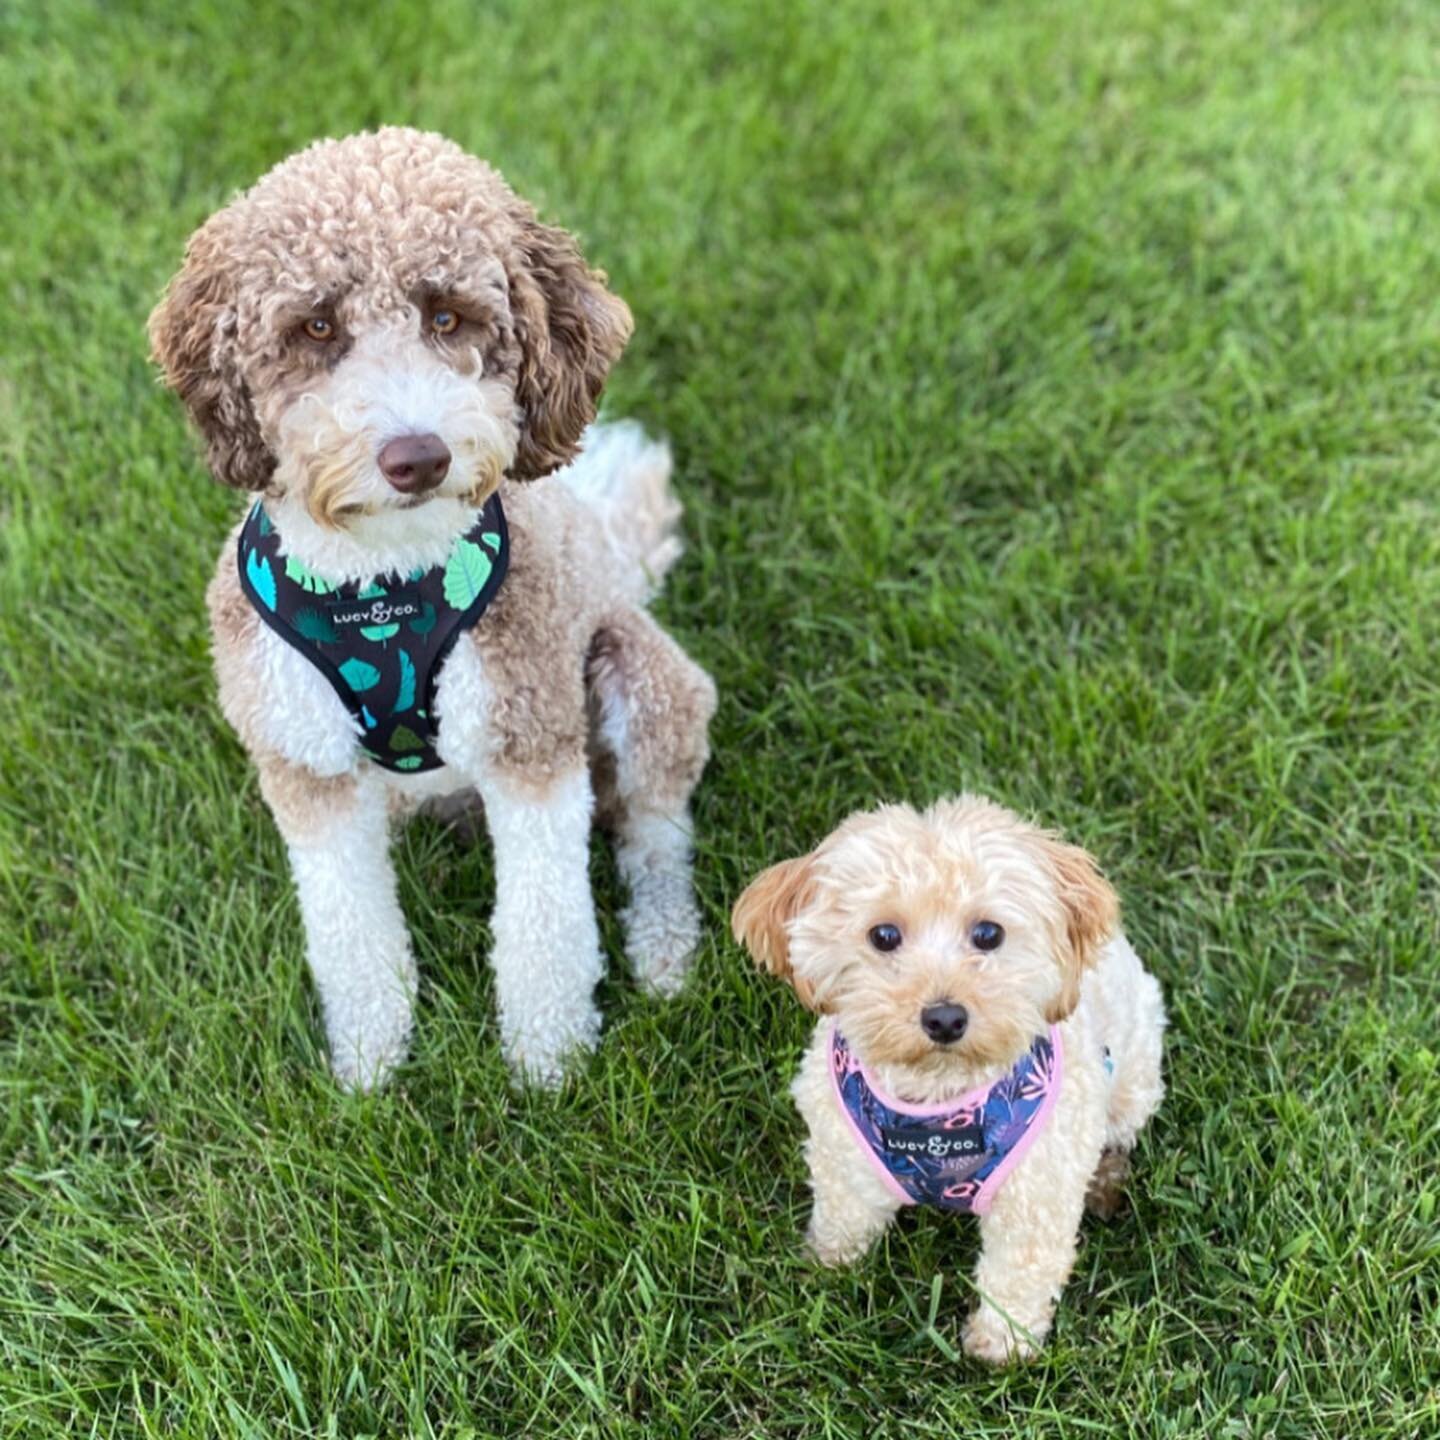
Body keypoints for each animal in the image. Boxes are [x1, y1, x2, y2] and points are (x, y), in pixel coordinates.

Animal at [150, 129, 714, 1088]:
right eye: (317, 327)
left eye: (448, 317)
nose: (417, 456)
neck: (382, 584)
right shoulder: (309, 771)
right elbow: (350, 930)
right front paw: (370, 1066)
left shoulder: (531, 742)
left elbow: (544, 925)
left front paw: (548, 1065)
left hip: (645, 683)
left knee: (654, 832)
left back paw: (667, 948)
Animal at [737, 794, 1163, 1365]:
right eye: (884, 935)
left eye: (988, 933)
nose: (944, 1018)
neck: (939, 1111)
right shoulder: (843, 1159)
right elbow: (845, 1215)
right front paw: (828, 1265)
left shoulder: (1036, 1195)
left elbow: (1018, 1272)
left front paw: (1001, 1345)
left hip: (1135, 1072)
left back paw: (1106, 1181)